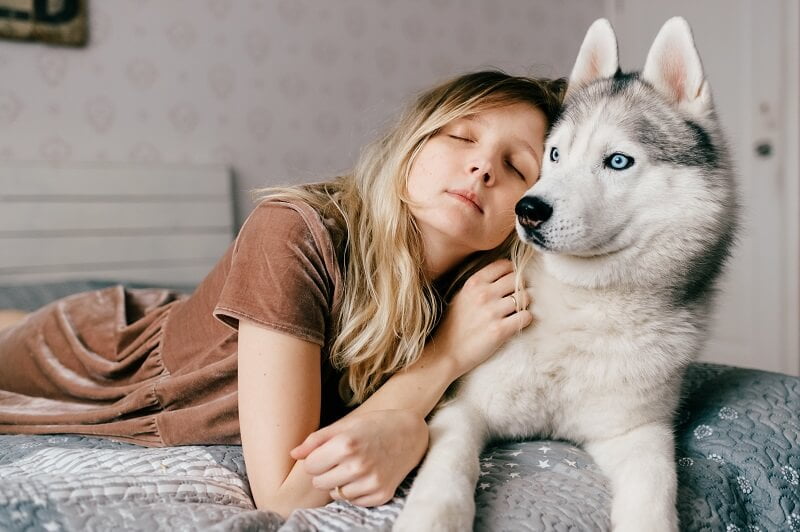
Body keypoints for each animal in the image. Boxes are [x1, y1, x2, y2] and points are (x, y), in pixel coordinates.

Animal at [394, 16, 736, 532]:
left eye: (618, 161)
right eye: (554, 155)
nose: (528, 210)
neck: (583, 306)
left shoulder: (638, 432)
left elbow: (656, 489)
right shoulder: (463, 408)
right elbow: (452, 468)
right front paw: (433, 517)